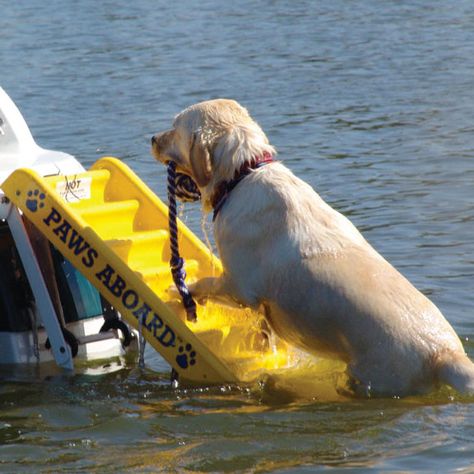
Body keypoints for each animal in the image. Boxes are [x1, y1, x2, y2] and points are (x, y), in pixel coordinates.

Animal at [152, 99, 474, 396]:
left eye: (175, 128)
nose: (152, 138)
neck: (243, 173)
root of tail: (445, 354)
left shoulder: (241, 287)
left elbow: (206, 283)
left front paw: (179, 291)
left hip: (375, 377)